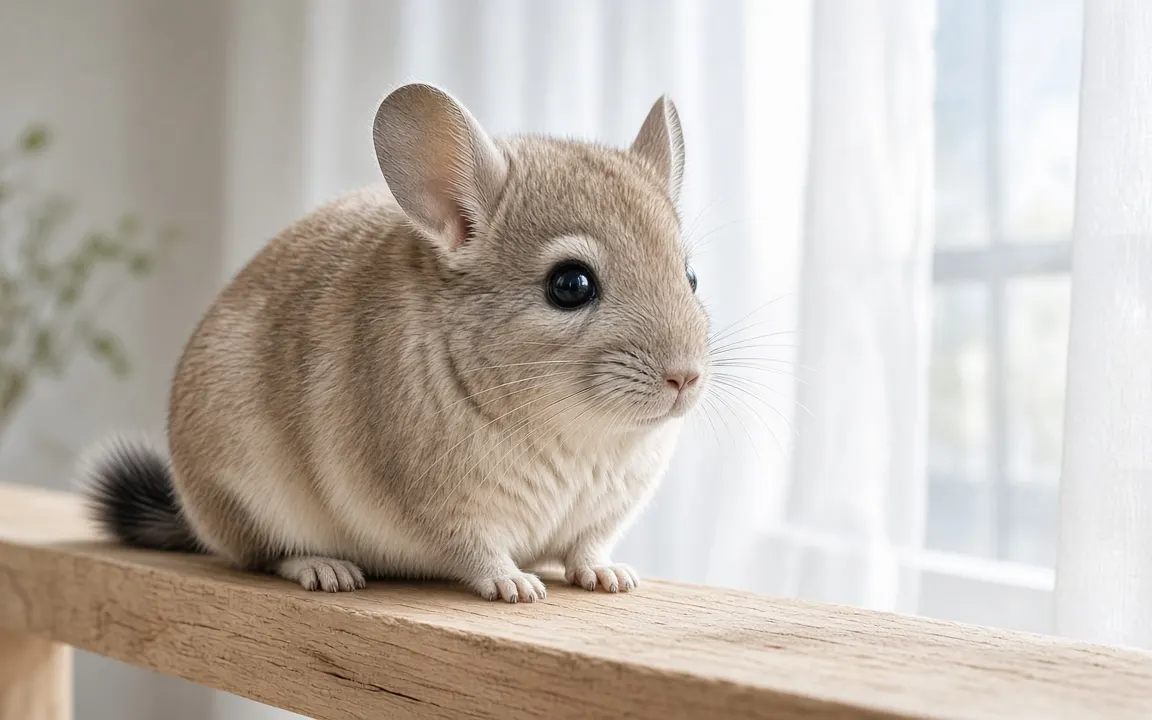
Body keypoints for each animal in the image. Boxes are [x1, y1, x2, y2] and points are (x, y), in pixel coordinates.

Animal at [81, 82, 710, 603]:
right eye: (570, 284)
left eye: (690, 276)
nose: (685, 378)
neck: (578, 440)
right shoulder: (444, 510)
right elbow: (479, 554)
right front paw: (517, 586)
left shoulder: (604, 516)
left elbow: (587, 548)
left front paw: (611, 577)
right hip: (247, 502)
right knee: (264, 555)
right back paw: (326, 569)